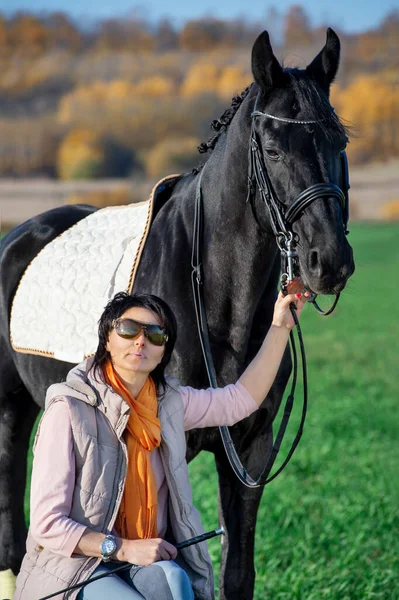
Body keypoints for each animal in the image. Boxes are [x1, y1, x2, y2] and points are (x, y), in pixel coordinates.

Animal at [0, 29, 356, 600]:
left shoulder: (250, 452)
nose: (331, 262)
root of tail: (20, 235)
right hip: (11, 410)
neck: (215, 301)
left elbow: (237, 575)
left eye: (339, 143)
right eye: (273, 150)